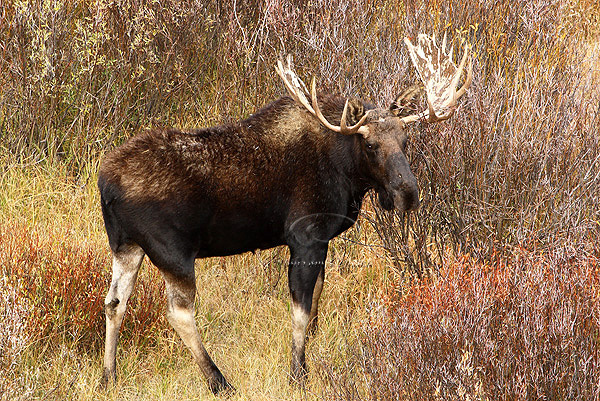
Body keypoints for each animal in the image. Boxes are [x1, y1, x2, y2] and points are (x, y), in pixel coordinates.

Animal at [98, 33, 474, 394]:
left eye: (406, 140)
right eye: (370, 145)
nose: (407, 194)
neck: (346, 171)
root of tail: (107, 184)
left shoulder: (321, 242)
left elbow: (316, 300)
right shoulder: (305, 237)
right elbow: (301, 311)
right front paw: (298, 373)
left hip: (126, 246)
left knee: (115, 302)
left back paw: (108, 377)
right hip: (173, 253)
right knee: (179, 313)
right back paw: (219, 381)